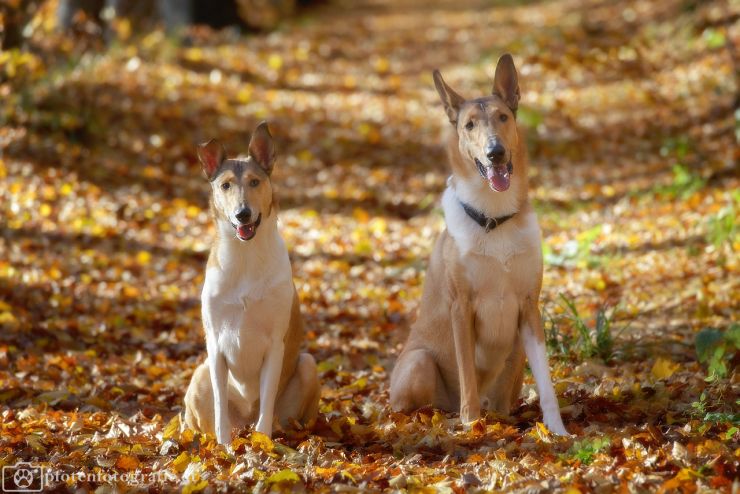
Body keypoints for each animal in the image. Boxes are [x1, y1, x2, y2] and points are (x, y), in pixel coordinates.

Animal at [184, 120, 318, 444]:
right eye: (225, 185)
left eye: (255, 182)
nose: (242, 214)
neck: (245, 257)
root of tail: (243, 420)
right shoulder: (215, 345)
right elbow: (220, 405)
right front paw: (224, 447)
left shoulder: (275, 344)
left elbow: (266, 402)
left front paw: (263, 443)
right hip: (200, 372)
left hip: (308, 365)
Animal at [390, 54, 568, 434]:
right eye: (469, 125)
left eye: (503, 117)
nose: (495, 153)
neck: (494, 218)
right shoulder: (462, 306)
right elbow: (467, 375)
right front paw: (471, 424)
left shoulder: (529, 306)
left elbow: (546, 382)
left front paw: (557, 430)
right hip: (418, 363)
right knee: (409, 406)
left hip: (514, 357)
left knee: (502, 397)